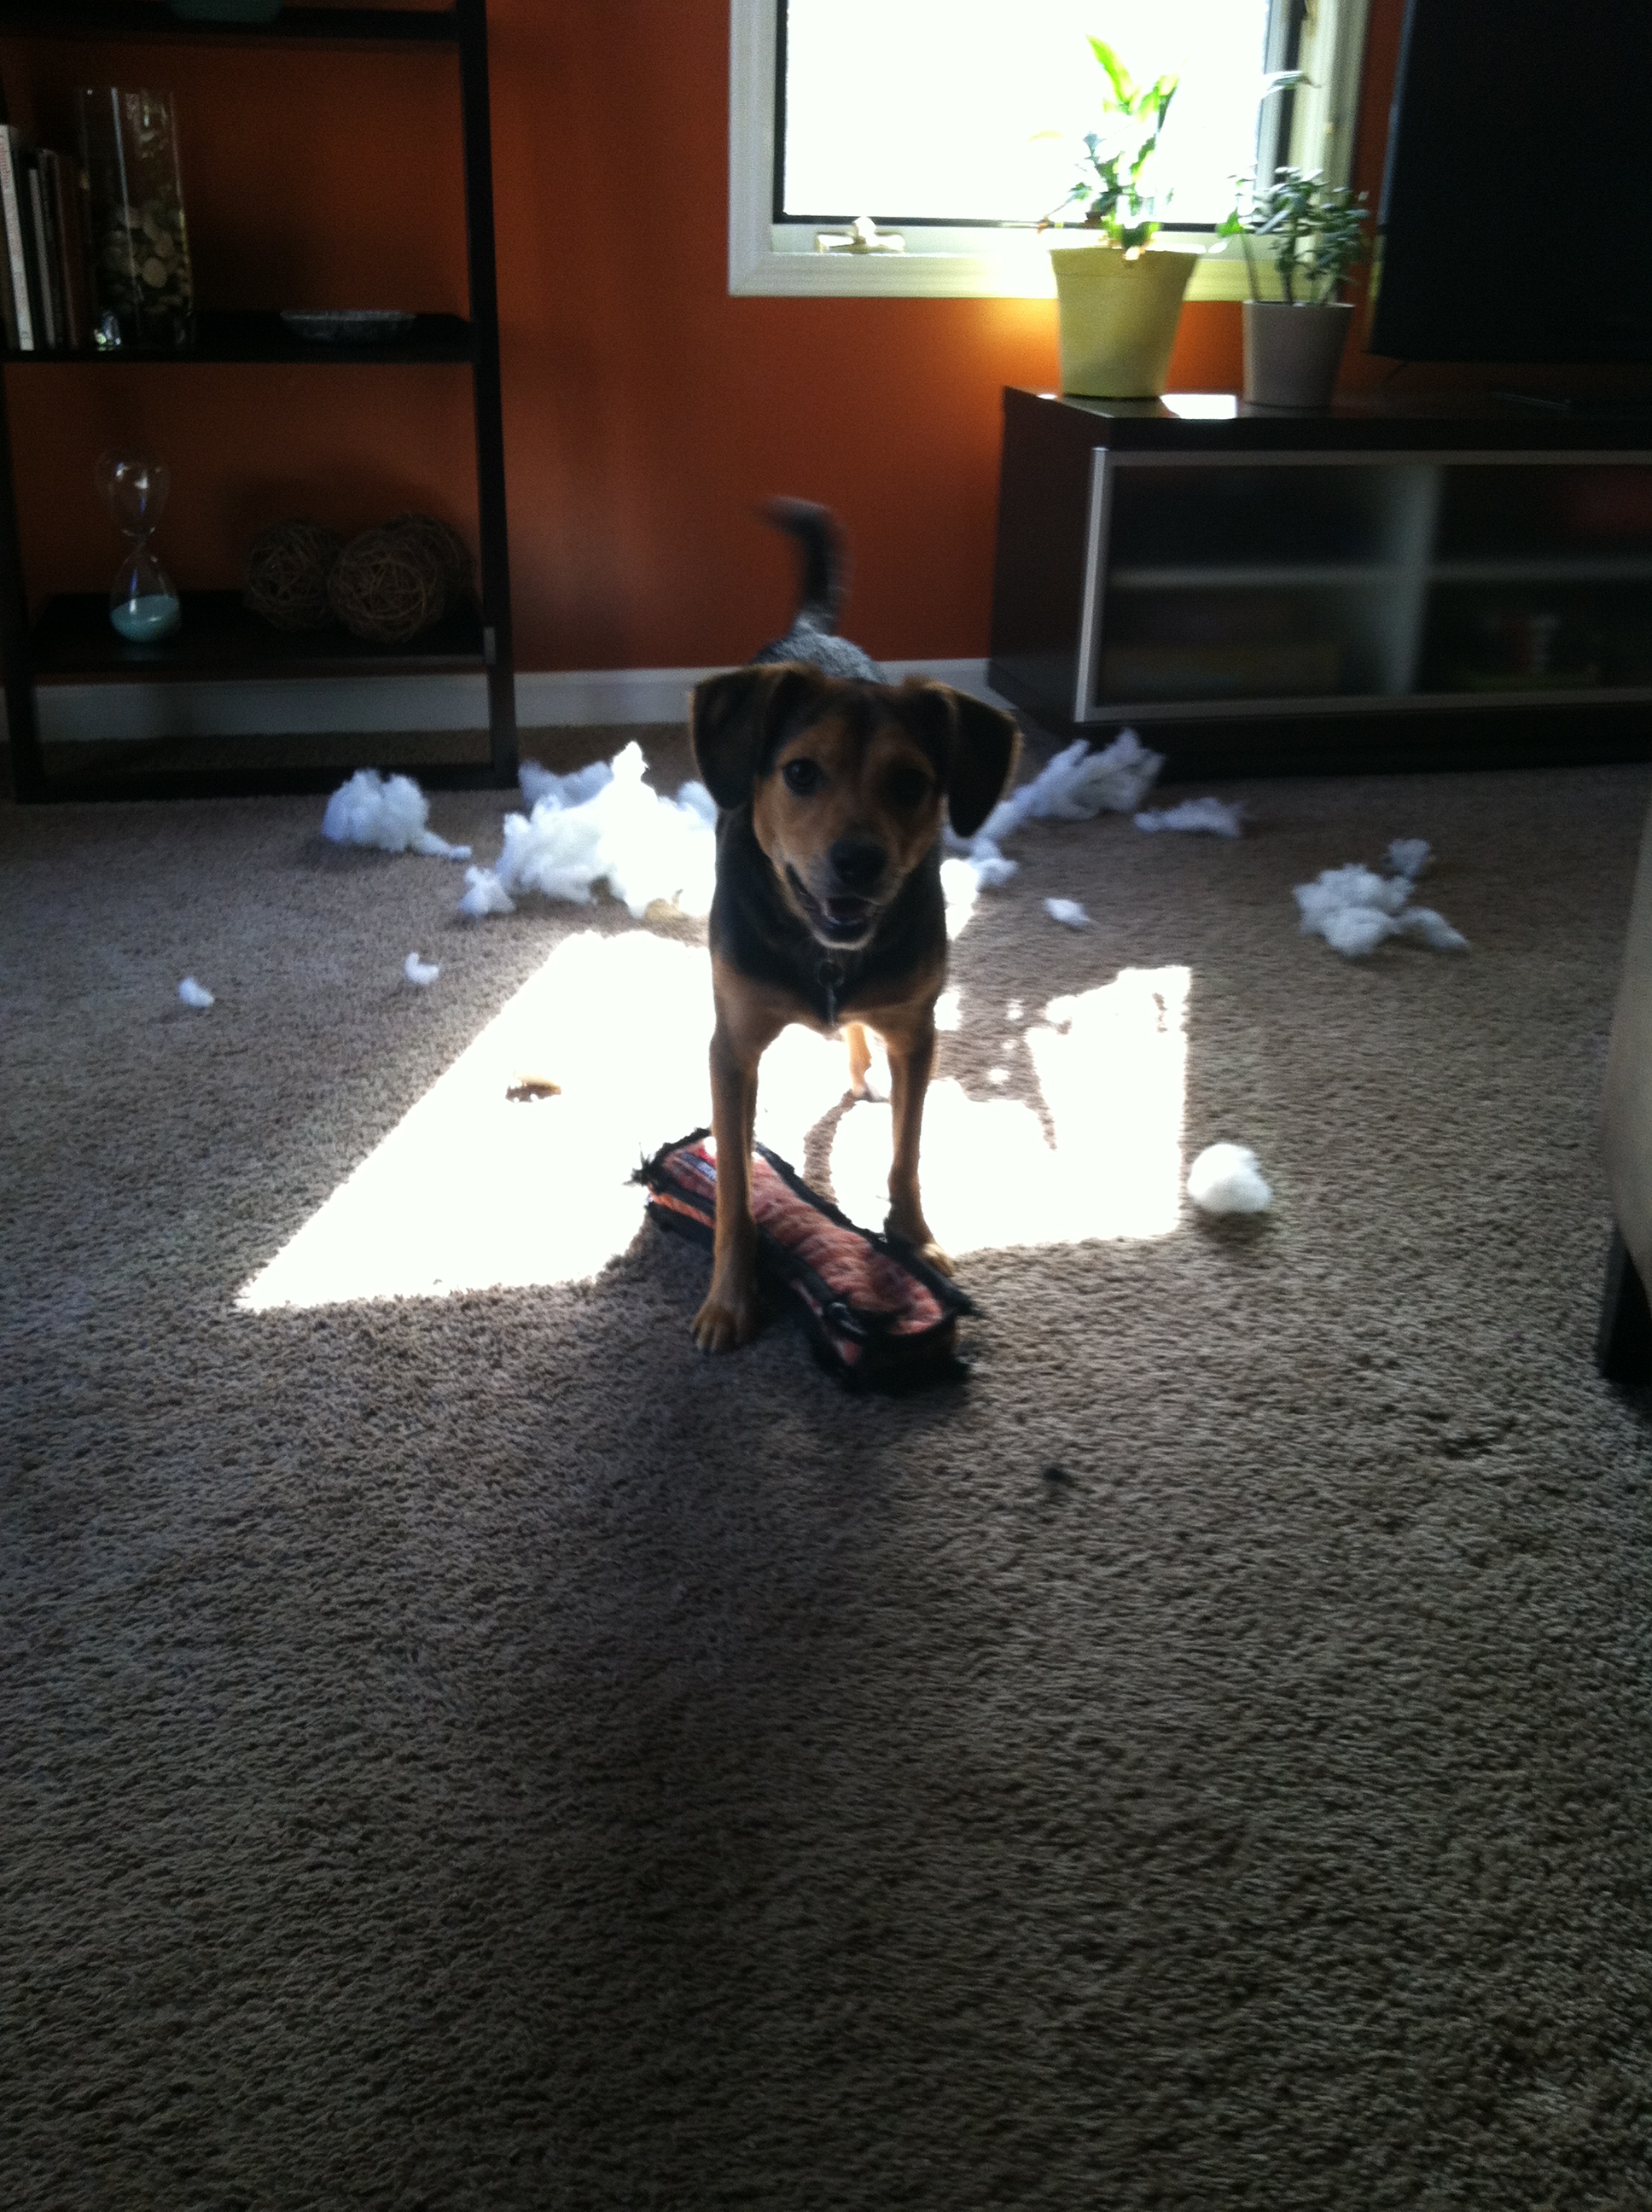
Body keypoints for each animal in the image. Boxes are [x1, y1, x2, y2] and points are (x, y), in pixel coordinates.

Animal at [685, 501, 1020, 1353]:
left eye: (911, 783)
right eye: (801, 773)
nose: (859, 862)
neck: (825, 954)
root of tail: (813, 638)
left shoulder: (918, 1031)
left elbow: (907, 1150)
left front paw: (913, 1241)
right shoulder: (732, 1049)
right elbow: (734, 1189)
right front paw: (730, 1299)